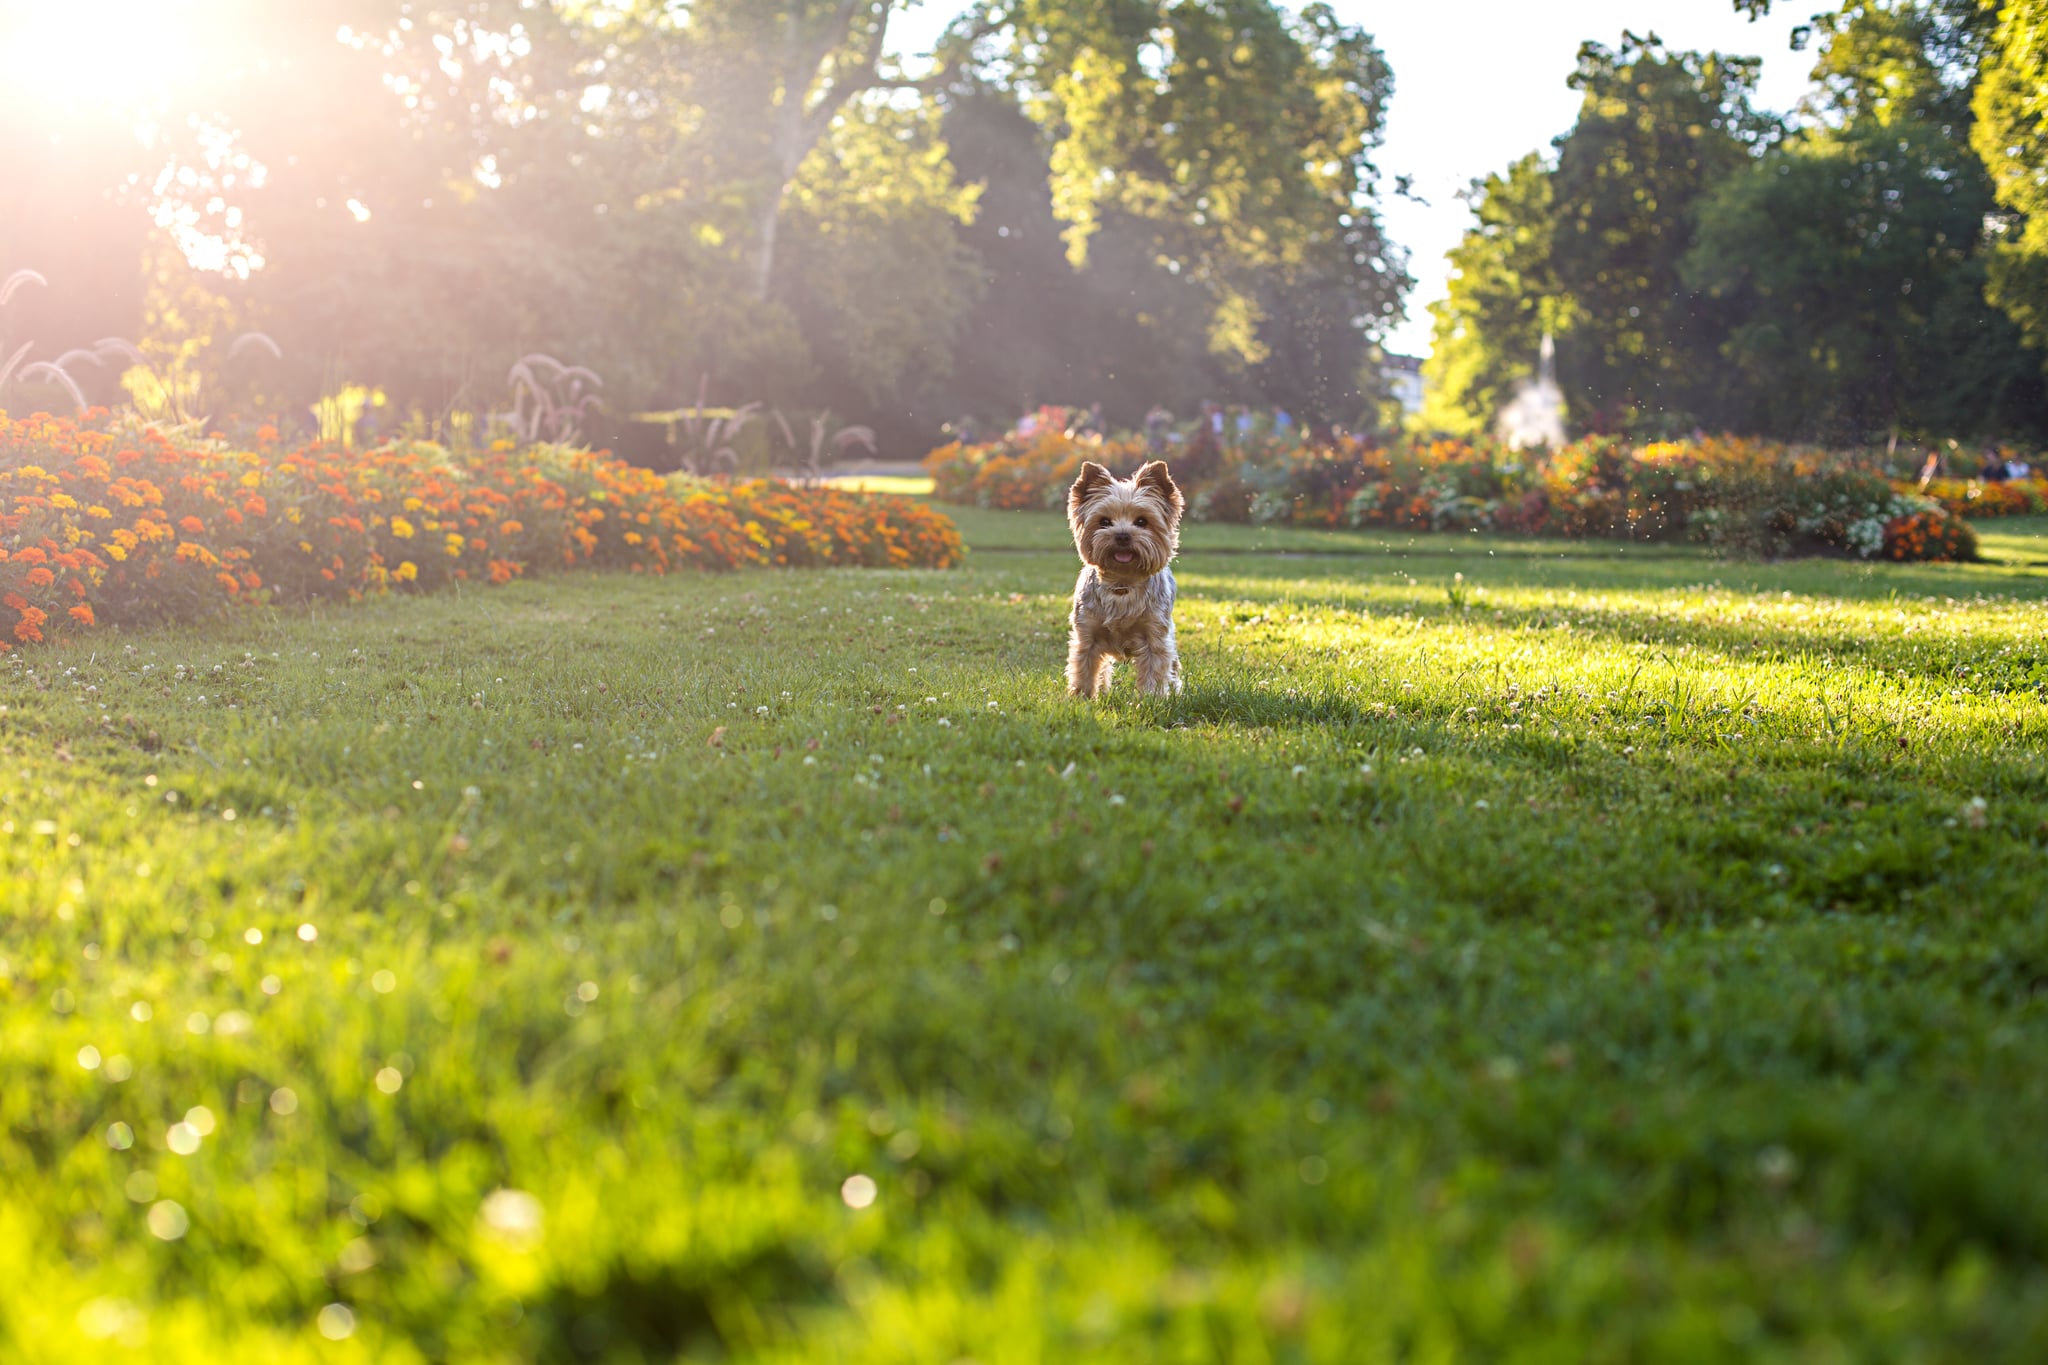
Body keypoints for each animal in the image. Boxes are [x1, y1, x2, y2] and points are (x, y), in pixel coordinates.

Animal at [1073, 462, 1187, 699]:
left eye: (1142, 521)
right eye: (1104, 522)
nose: (1123, 535)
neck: (1122, 581)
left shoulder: (1155, 632)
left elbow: (1155, 667)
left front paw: (1152, 699)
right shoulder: (1087, 632)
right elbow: (1084, 666)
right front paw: (1082, 698)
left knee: (1172, 667)